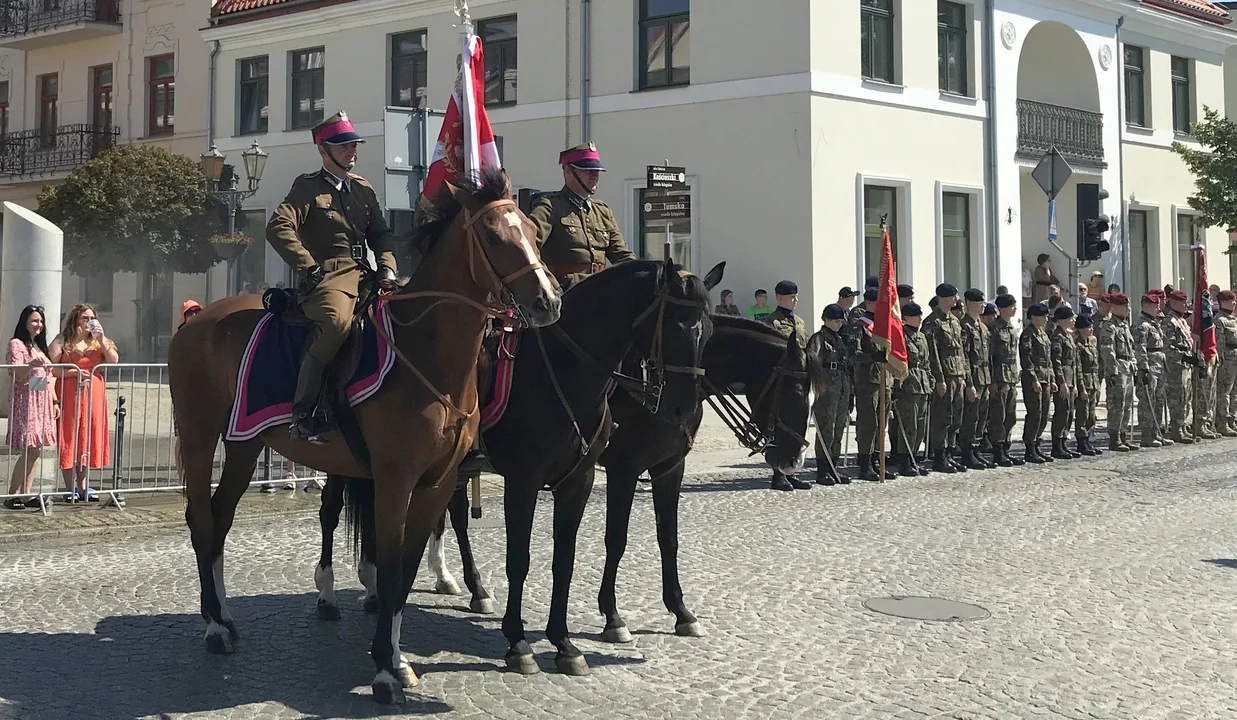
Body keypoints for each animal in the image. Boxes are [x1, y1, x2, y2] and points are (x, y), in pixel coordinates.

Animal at [170, 169, 561, 707]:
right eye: (493, 236)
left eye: (533, 232)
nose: (549, 300)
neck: (427, 353)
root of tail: (197, 318)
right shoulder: (395, 480)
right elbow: (392, 565)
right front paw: (381, 669)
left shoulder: (438, 482)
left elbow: (409, 567)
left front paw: (398, 662)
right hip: (199, 435)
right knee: (201, 520)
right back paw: (212, 627)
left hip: (245, 444)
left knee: (221, 519)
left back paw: (224, 617)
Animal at [319, 262, 722, 677]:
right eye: (674, 326)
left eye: (708, 331)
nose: (682, 409)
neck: (563, 371)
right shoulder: (546, 479)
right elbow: (531, 557)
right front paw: (527, 640)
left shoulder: (627, 474)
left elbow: (599, 553)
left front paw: (573, 641)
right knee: (333, 512)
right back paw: (332, 595)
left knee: (443, 515)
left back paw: (450, 587)